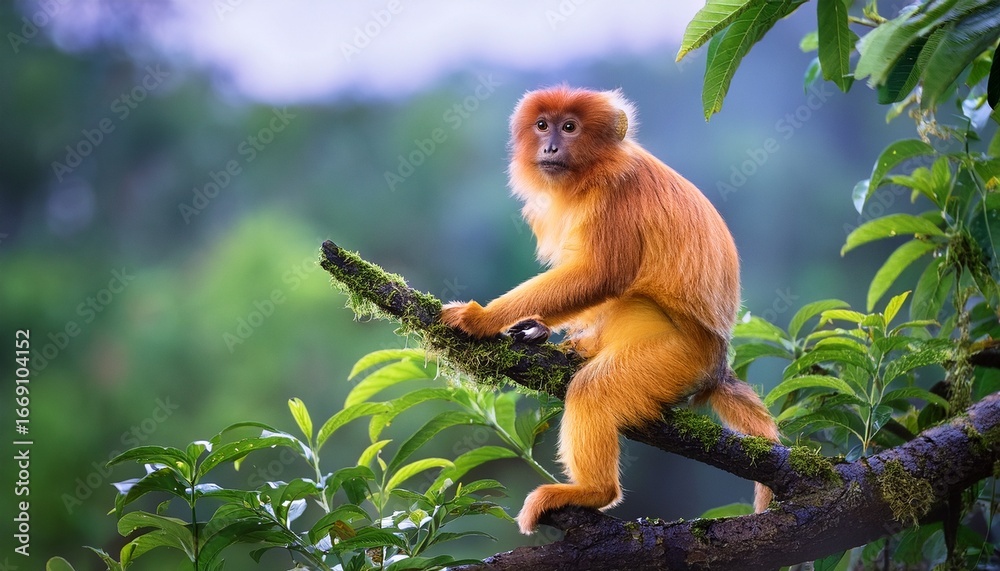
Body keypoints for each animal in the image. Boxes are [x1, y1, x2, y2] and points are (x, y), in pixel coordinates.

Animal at [440, 86, 780, 534]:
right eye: (543, 125)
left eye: (570, 127)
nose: (550, 146)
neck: (592, 172)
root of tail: (717, 365)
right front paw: (533, 327)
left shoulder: (617, 195)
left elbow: (600, 277)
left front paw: (481, 318)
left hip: (678, 357)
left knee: (596, 383)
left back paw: (593, 491)